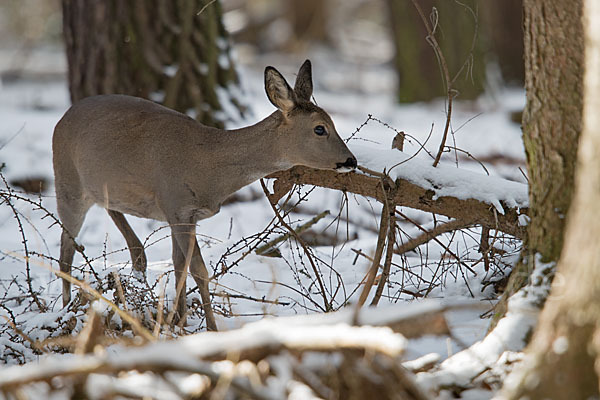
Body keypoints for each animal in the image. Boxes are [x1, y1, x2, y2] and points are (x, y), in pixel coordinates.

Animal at [52, 59, 356, 330]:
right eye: (320, 128)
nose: (350, 161)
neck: (208, 165)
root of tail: (62, 117)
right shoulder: (176, 204)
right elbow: (195, 268)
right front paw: (205, 327)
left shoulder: (185, 214)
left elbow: (182, 265)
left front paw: (178, 321)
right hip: (67, 183)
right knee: (66, 250)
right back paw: (66, 309)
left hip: (101, 187)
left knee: (117, 221)